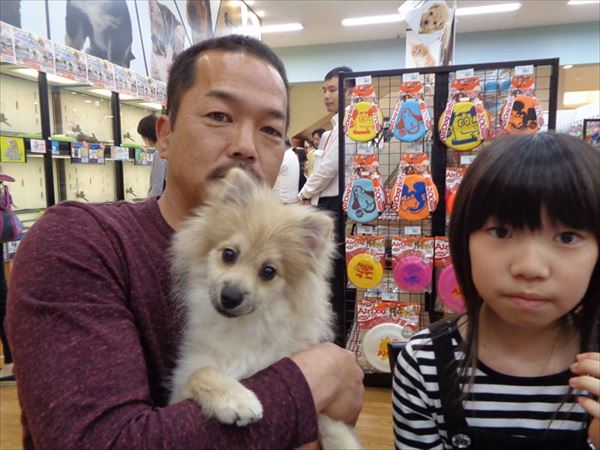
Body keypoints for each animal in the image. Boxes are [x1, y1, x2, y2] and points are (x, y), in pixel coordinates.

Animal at [169, 166, 362, 449]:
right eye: (229, 255)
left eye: (268, 272)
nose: (231, 296)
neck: (245, 327)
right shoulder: (182, 382)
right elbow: (202, 372)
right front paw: (236, 398)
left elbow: (331, 423)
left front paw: (343, 442)